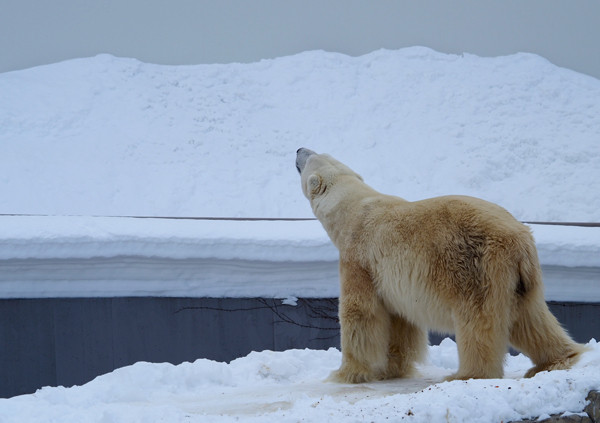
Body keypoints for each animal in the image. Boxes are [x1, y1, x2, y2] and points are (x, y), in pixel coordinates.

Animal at [296, 147, 584, 382]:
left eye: (309, 157)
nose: (299, 149)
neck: (353, 209)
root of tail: (519, 240)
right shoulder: (393, 280)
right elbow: (399, 321)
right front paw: (392, 369)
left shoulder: (359, 258)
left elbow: (360, 314)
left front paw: (347, 373)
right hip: (523, 281)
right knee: (531, 319)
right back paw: (557, 359)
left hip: (476, 269)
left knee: (479, 324)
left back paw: (467, 374)